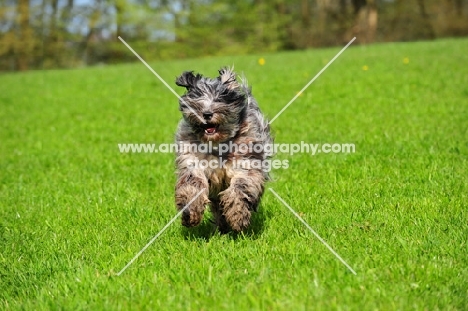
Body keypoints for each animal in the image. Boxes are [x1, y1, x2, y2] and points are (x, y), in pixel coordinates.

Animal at [174, 68, 272, 234]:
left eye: (219, 98)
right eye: (197, 97)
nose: (207, 114)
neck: (218, 144)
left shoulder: (246, 161)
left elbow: (241, 186)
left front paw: (238, 215)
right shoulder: (192, 160)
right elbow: (193, 184)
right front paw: (190, 213)